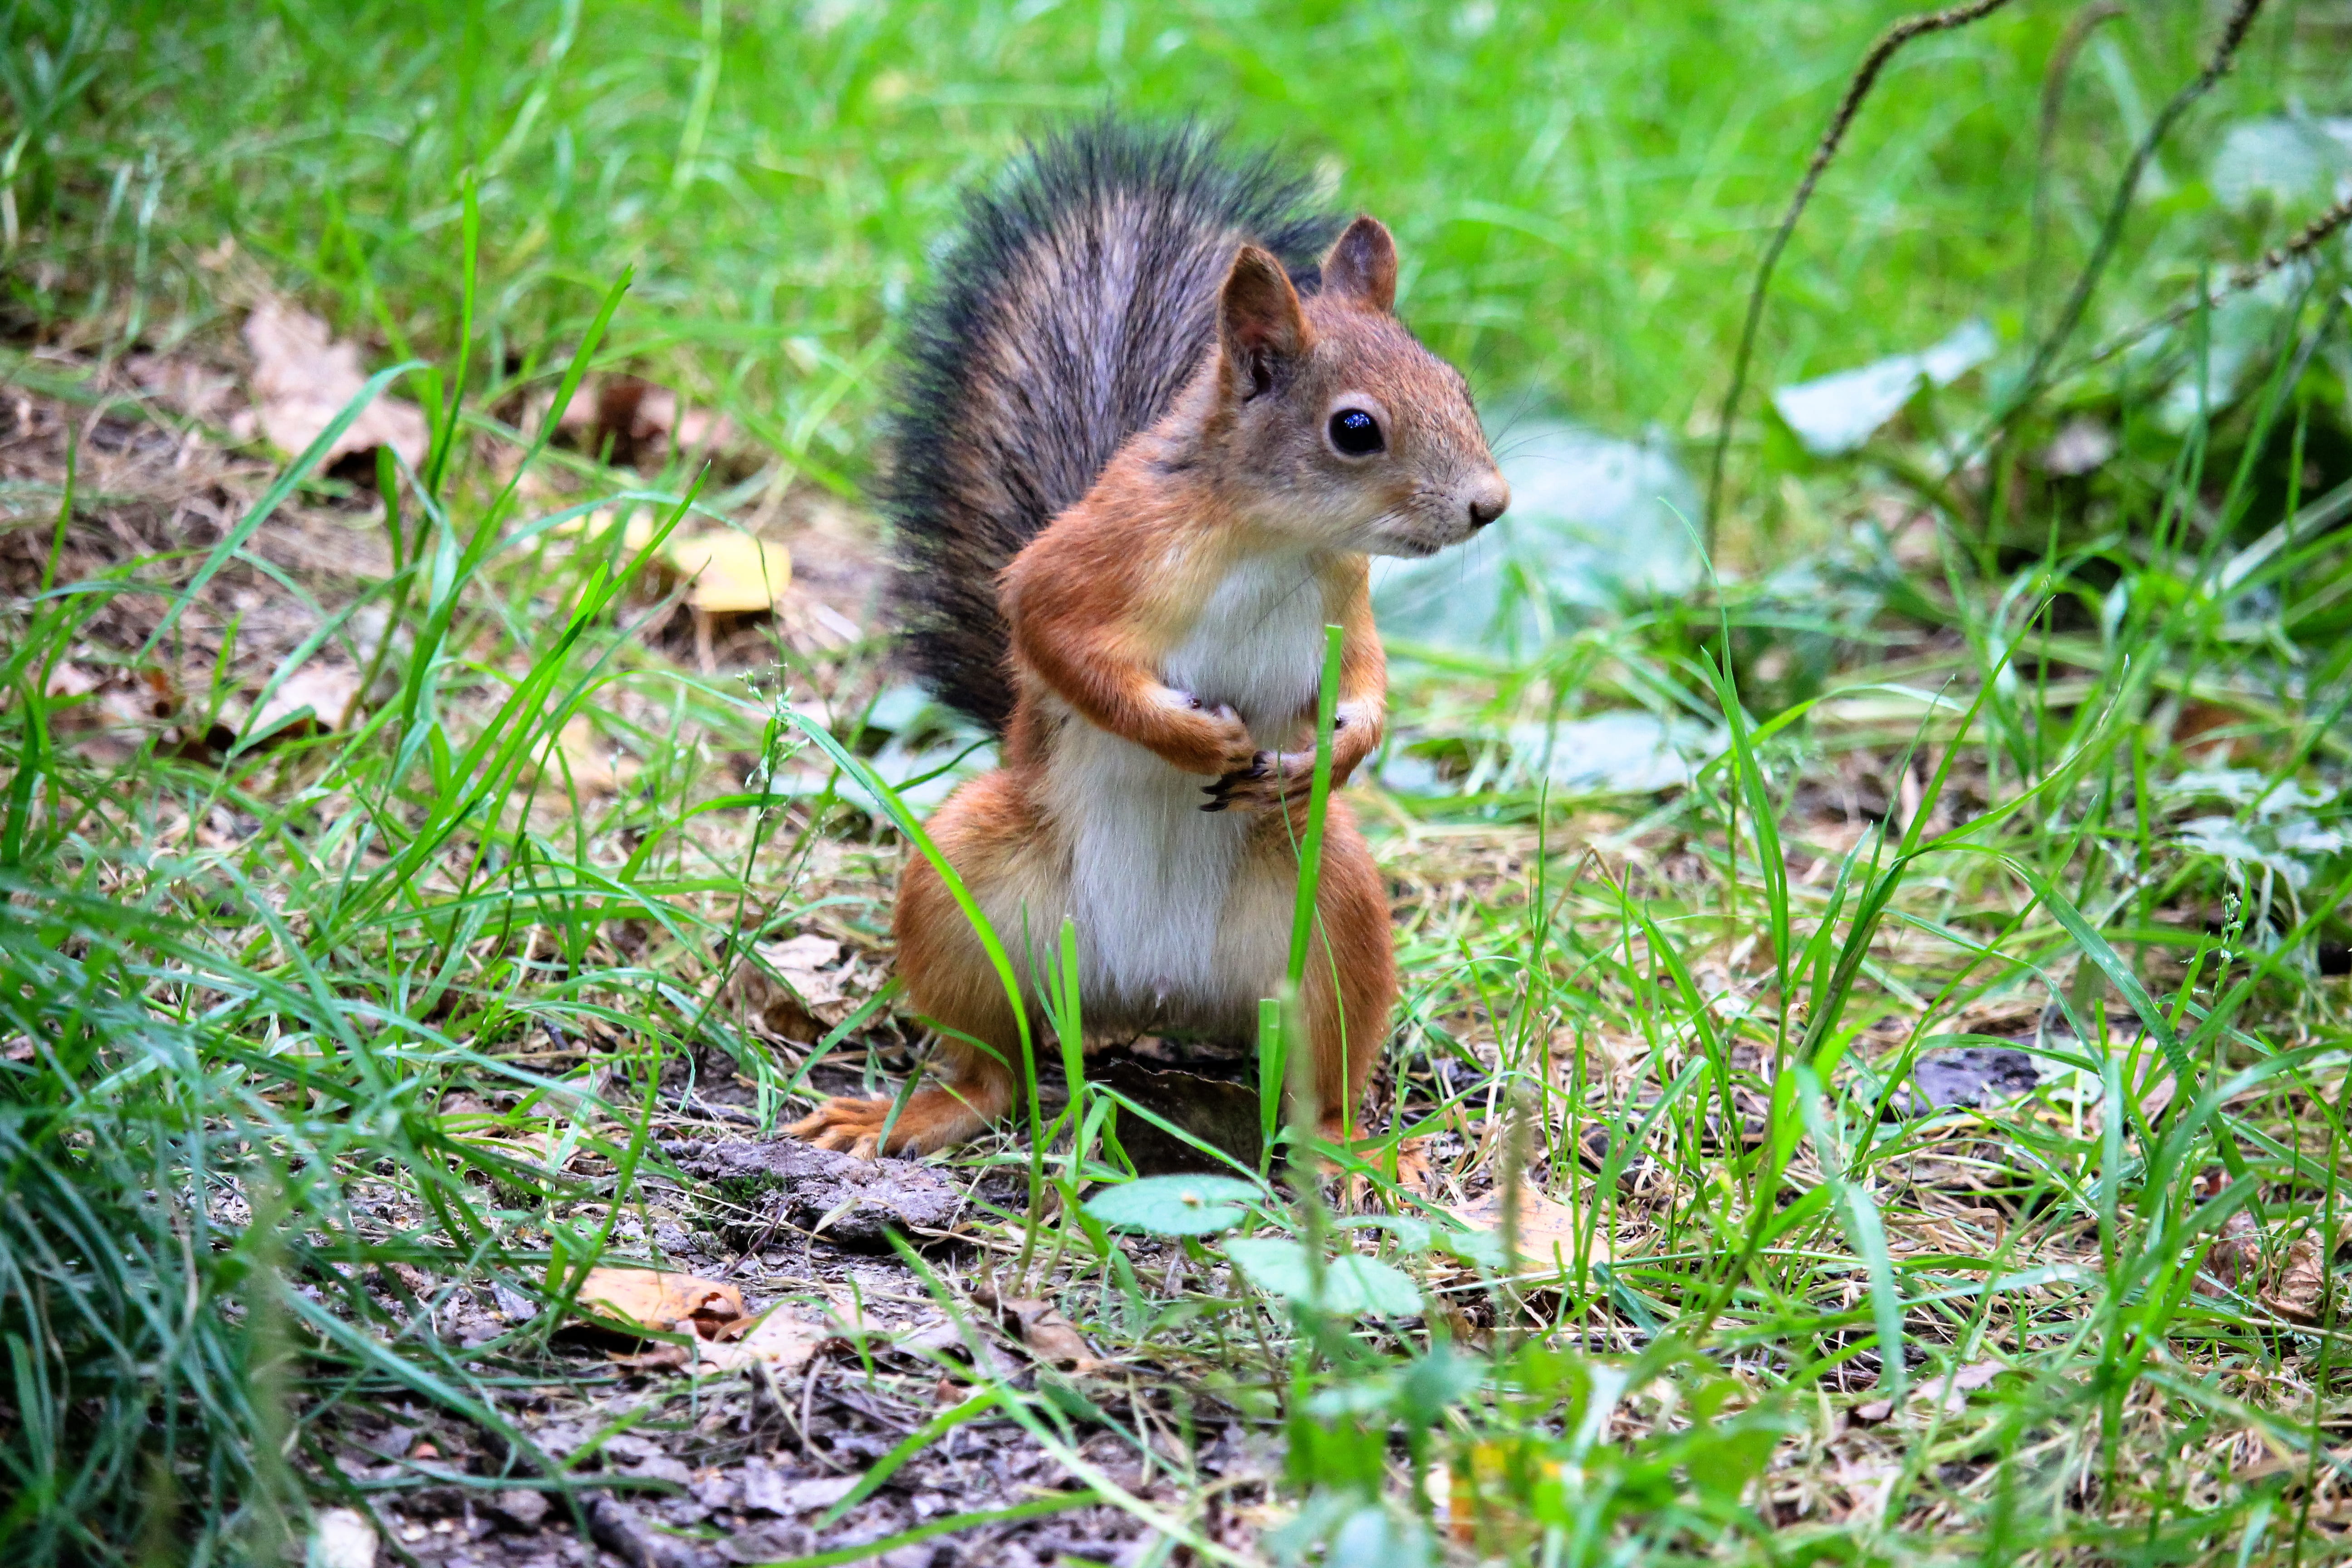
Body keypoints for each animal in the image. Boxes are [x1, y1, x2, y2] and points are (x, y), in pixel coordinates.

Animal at [789, 120, 1507, 1157]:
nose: (1491, 505)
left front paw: (1336, 751)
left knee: (1322, 1077)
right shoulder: (1090, 561)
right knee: (993, 1065)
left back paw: (1348, 1151)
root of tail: (1144, 995)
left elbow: (1369, 682)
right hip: (962, 891)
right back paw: (924, 1110)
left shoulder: (1348, 607)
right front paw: (1193, 738)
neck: (1275, 539)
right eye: (1355, 428)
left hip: (1334, 916)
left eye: (1457, 385)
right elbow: (1058, 642)